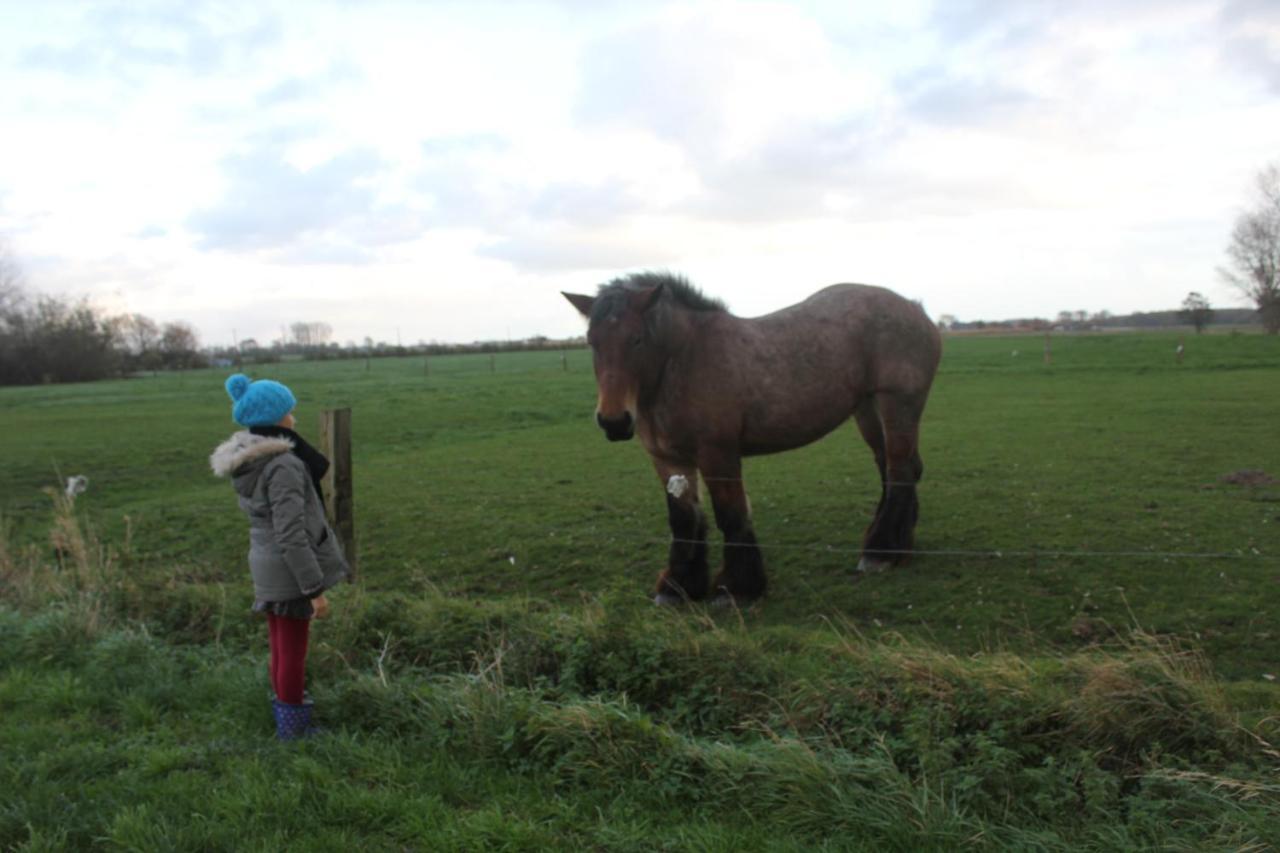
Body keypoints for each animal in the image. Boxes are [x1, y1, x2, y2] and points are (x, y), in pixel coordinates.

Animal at [565, 272, 947, 604]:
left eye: (637, 339)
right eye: (592, 342)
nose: (614, 422)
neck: (683, 360)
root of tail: (917, 310)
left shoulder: (717, 454)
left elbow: (731, 515)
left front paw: (736, 589)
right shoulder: (668, 460)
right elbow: (684, 520)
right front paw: (678, 587)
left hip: (897, 405)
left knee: (899, 472)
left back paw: (880, 553)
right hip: (867, 410)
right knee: (895, 470)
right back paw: (896, 545)